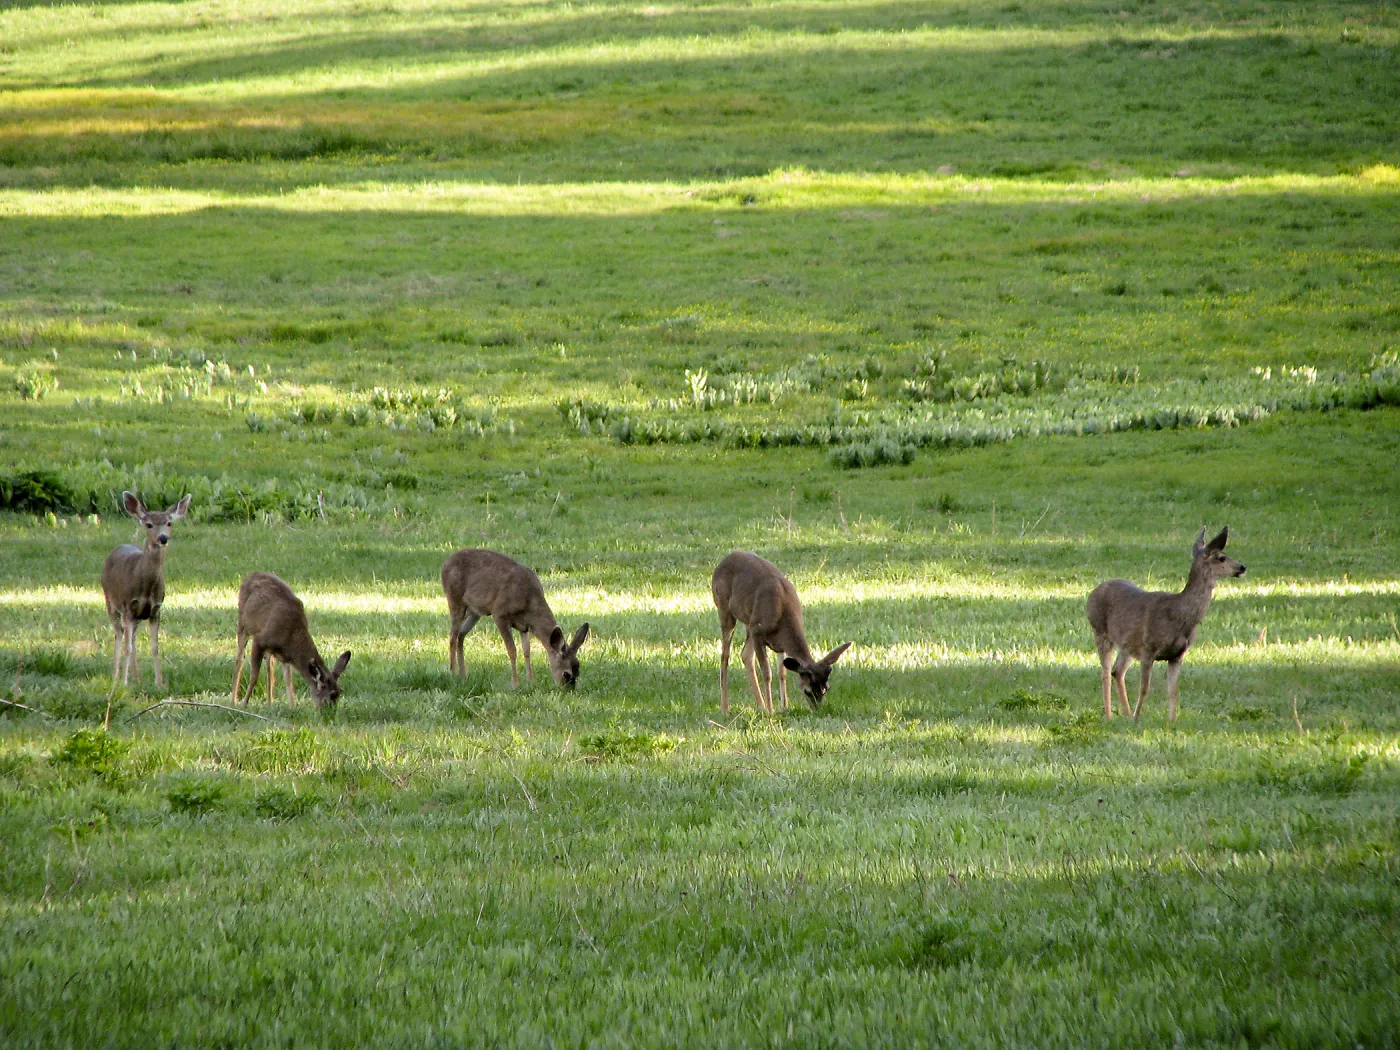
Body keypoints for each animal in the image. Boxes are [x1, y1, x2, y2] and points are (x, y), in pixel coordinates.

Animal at [101, 491, 192, 693]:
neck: (146, 587)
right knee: (119, 635)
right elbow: (127, 647)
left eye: (169, 522)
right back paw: (116, 677)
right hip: (110, 602)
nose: (163, 538)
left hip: (136, 616)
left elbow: (155, 647)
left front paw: (159, 683)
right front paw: (124, 683)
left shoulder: (155, 610)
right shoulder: (128, 607)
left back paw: (137, 679)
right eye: (149, 524)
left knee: (132, 638)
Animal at [232, 572, 350, 712]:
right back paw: (233, 700)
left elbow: (288, 681)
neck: (292, 636)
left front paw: (292, 707)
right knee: (240, 659)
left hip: (269, 650)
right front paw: (244, 705)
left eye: (339, 693)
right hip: (242, 624)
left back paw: (269, 703)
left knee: (269, 666)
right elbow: (254, 677)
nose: (328, 713)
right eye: (328, 697)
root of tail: (250, 575)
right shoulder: (259, 640)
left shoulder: (285, 657)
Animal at [440, 549, 589, 689]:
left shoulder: (524, 626)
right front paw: (516, 683)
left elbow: (527, 651)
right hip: (455, 600)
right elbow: (512, 650)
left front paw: (532, 681)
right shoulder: (499, 614)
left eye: (578, 672)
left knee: (460, 635)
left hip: (474, 612)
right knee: (452, 636)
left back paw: (463, 675)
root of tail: (444, 564)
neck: (529, 601)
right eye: (566, 674)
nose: (568, 690)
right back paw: (452, 672)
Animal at [711, 551, 852, 716]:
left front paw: (784, 707)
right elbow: (767, 672)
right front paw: (771, 711)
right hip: (725, 610)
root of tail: (722, 561)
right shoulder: (758, 632)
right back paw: (725, 709)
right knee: (725, 657)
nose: (817, 710)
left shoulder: (778, 643)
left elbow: (782, 672)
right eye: (807, 691)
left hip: (748, 621)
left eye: (826, 689)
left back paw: (760, 706)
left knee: (745, 655)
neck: (784, 615)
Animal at [1086, 525, 1246, 723]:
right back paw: (1110, 716)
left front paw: (1171, 721)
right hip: (1100, 631)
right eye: (1222, 557)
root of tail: (1093, 592)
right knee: (1105, 674)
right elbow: (1144, 688)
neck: (1179, 617)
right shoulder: (1149, 648)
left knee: (1117, 671)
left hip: (1128, 644)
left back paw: (1126, 714)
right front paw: (1137, 719)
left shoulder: (1177, 655)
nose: (1242, 567)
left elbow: (1173, 691)